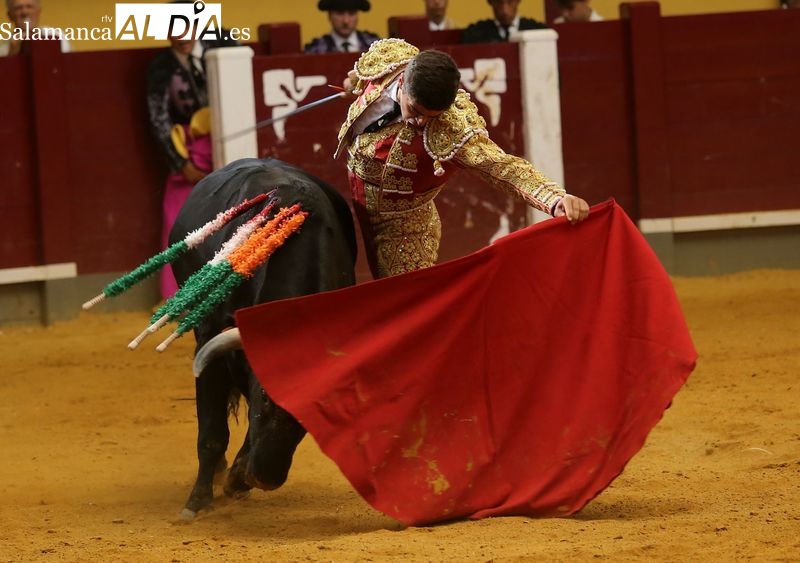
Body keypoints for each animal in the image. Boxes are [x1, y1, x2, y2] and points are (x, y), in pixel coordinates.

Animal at [169, 158, 357, 519]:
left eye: (314, 415)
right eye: (265, 399)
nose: (265, 478)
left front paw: (237, 479)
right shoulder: (212, 342)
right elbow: (212, 431)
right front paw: (198, 502)